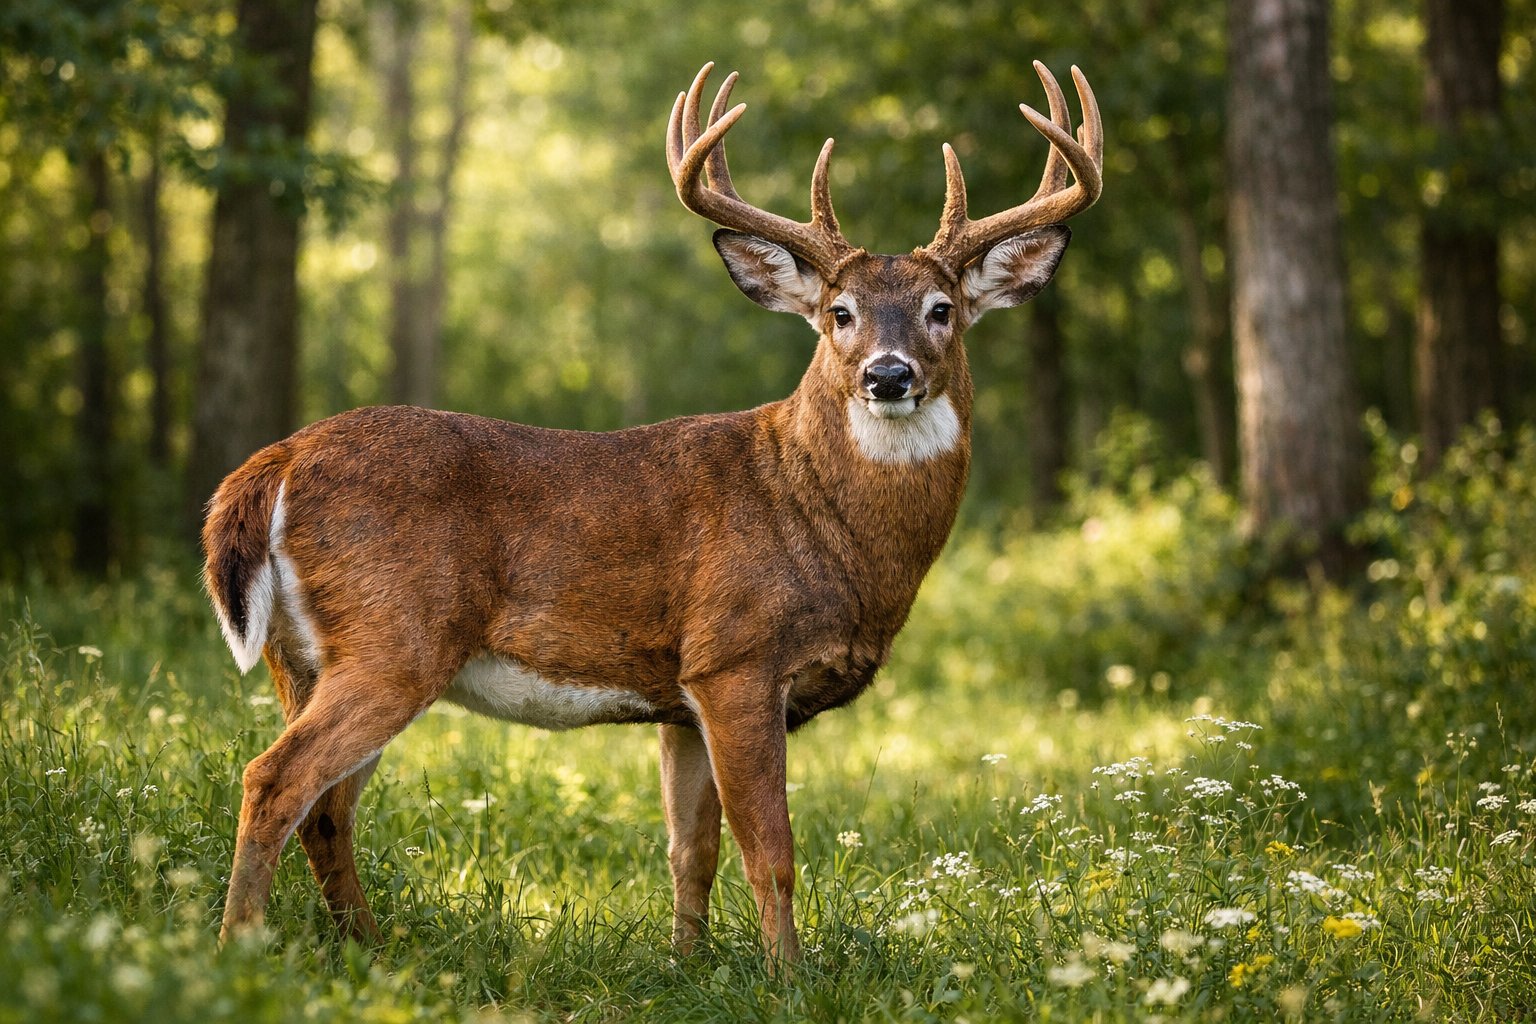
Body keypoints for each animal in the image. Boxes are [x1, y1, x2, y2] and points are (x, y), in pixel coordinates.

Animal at [204, 60, 1101, 966]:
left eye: (940, 309)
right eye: (838, 312)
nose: (888, 375)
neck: (819, 519)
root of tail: (274, 463)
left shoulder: (681, 696)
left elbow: (691, 848)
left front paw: (689, 961)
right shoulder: (736, 656)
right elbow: (770, 849)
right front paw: (789, 975)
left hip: (303, 656)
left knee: (327, 809)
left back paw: (367, 946)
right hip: (395, 636)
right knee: (277, 779)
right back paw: (240, 947)